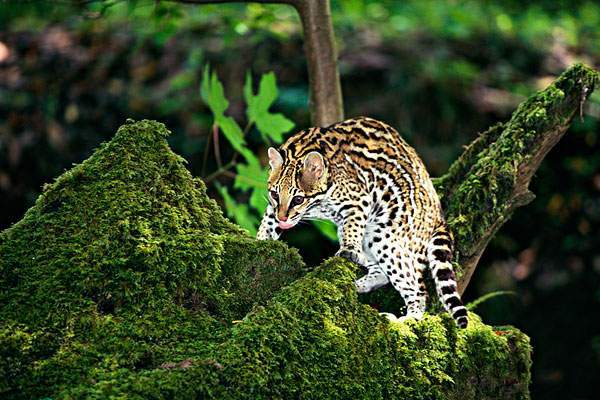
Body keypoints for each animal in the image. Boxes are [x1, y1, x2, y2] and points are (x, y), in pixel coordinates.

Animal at [255, 115, 466, 328]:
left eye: (298, 199)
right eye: (274, 194)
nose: (283, 218)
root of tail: (438, 214)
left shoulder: (359, 200)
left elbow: (352, 228)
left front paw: (348, 247)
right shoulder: (275, 208)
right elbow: (268, 221)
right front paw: (262, 239)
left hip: (386, 234)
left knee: (418, 288)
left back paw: (410, 317)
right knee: (382, 272)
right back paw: (360, 282)